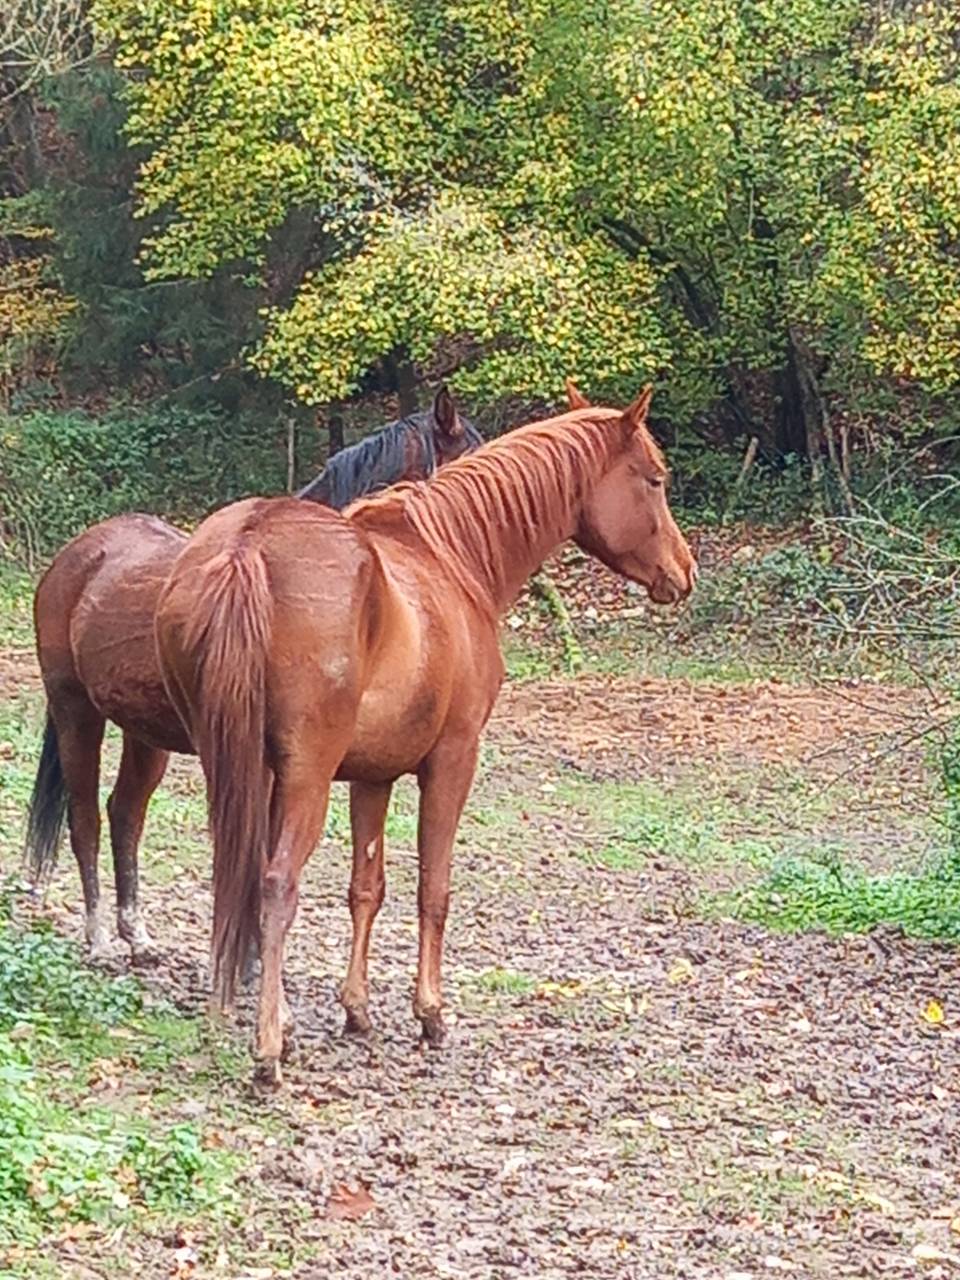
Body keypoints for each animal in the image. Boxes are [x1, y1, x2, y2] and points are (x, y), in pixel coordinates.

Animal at [25, 388, 481, 961]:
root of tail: (79, 553)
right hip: (75, 711)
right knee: (85, 814)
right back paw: (101, 936)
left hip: (144, 734)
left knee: (125, 812)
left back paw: (138, 933)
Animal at [154, 388, 697, 1087]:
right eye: (654, 479)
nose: (683, 572)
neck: (450, 557)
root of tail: (249, 545)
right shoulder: (453, 761)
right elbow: (433, 888)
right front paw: (431, 1013)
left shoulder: (372, 776)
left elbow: (367, 889)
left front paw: (356, 1010)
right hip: (303, 778)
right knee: (275, 884)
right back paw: (269, 1048)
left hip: (240, 767)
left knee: (240, 877)